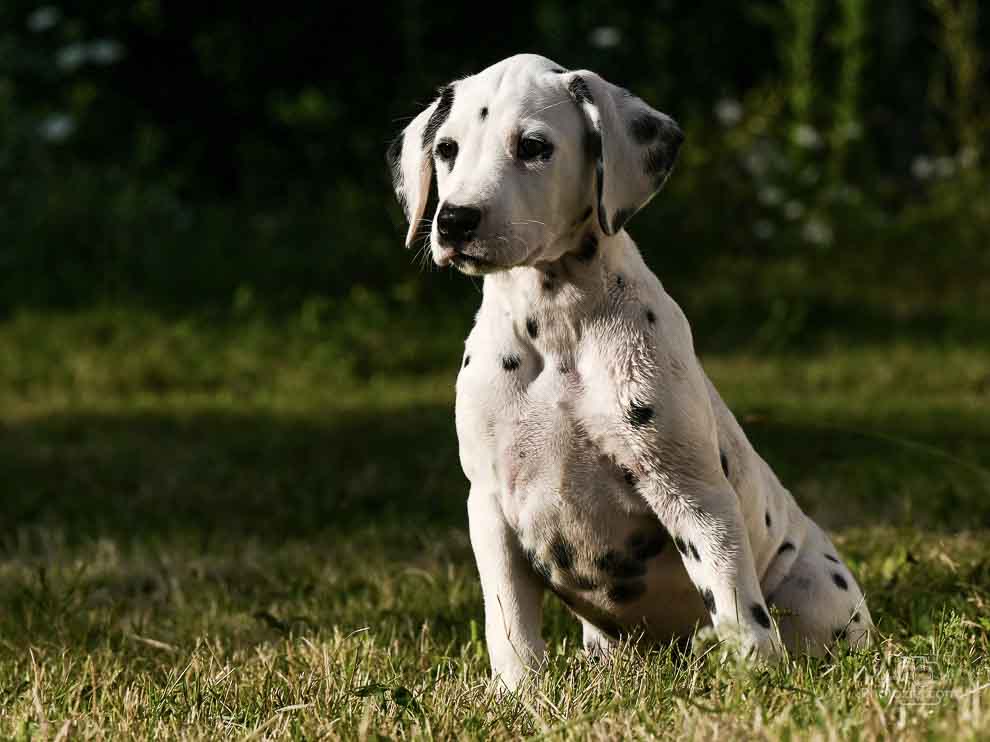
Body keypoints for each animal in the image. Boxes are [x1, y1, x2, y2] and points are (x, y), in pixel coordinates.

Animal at [388, 55, 876, 696]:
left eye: (533, 147)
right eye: (446, 148)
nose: (454, 221)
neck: (557, 324)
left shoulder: (693, 494)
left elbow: (733, 600)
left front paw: (755, 685)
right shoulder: (490, 507)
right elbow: (509, 623)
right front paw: (521, 696)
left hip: (816, 591)